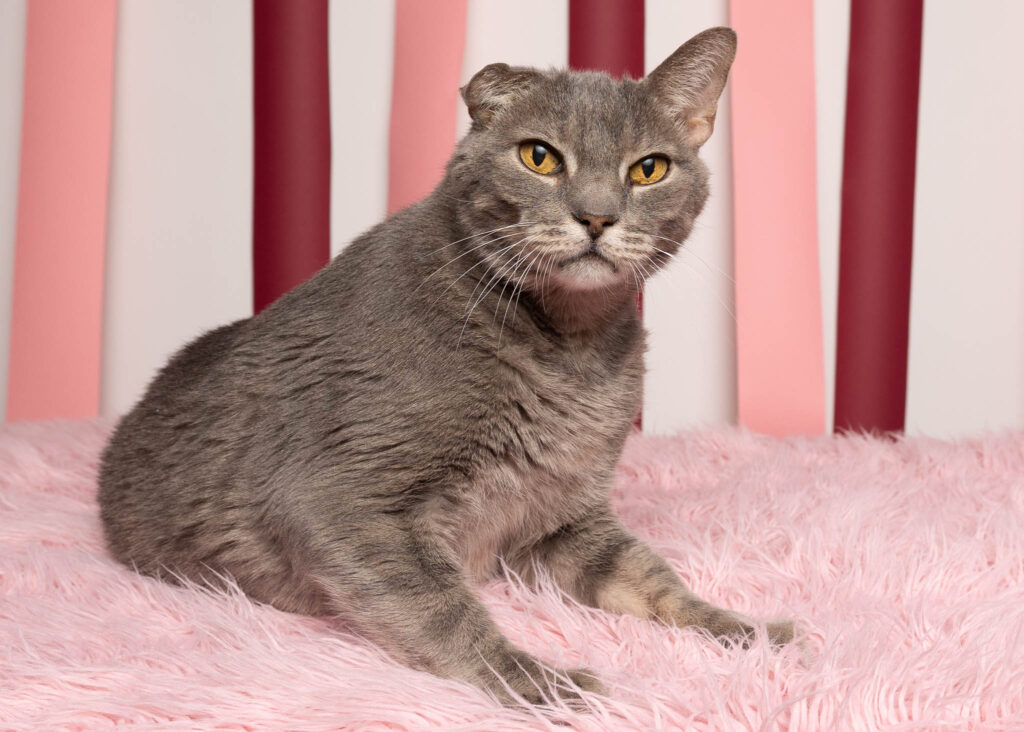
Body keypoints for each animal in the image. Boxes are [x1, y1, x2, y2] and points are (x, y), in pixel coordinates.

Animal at [97, 25, 790, 708]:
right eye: (539, 157)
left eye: (650, 168)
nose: (597, 216)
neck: (572, 347)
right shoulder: (339, 496)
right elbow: (443, 611)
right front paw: (546, 685)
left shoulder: (566, 510)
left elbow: (649, 577)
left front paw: (752, 632)